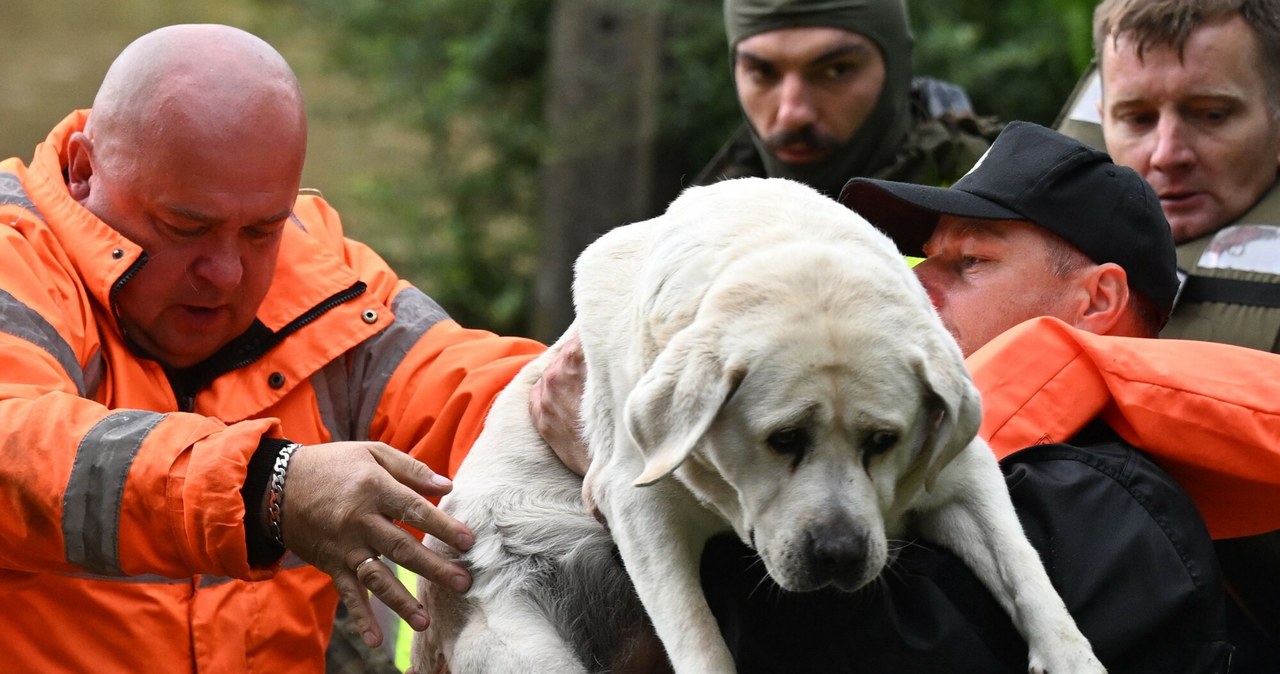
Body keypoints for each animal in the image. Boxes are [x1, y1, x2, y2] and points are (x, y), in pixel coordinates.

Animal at [414, 176, 1105, 670]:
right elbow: (698, 640)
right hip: (519, 635)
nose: (838, 554)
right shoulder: (642, 510)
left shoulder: (964, 475)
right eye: (783, 440)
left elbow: (1029, 575)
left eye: (883, 441)